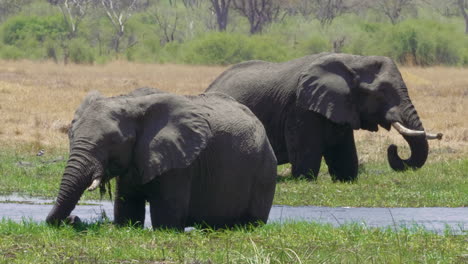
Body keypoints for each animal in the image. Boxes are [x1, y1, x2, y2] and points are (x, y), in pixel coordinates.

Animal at [45, 88, 276, 229]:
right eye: (70, 135)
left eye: (114, 141)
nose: (72, 218)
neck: (131, 102)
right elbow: (127, 210)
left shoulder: (180, 164)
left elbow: (167, 220)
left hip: (264, 169)